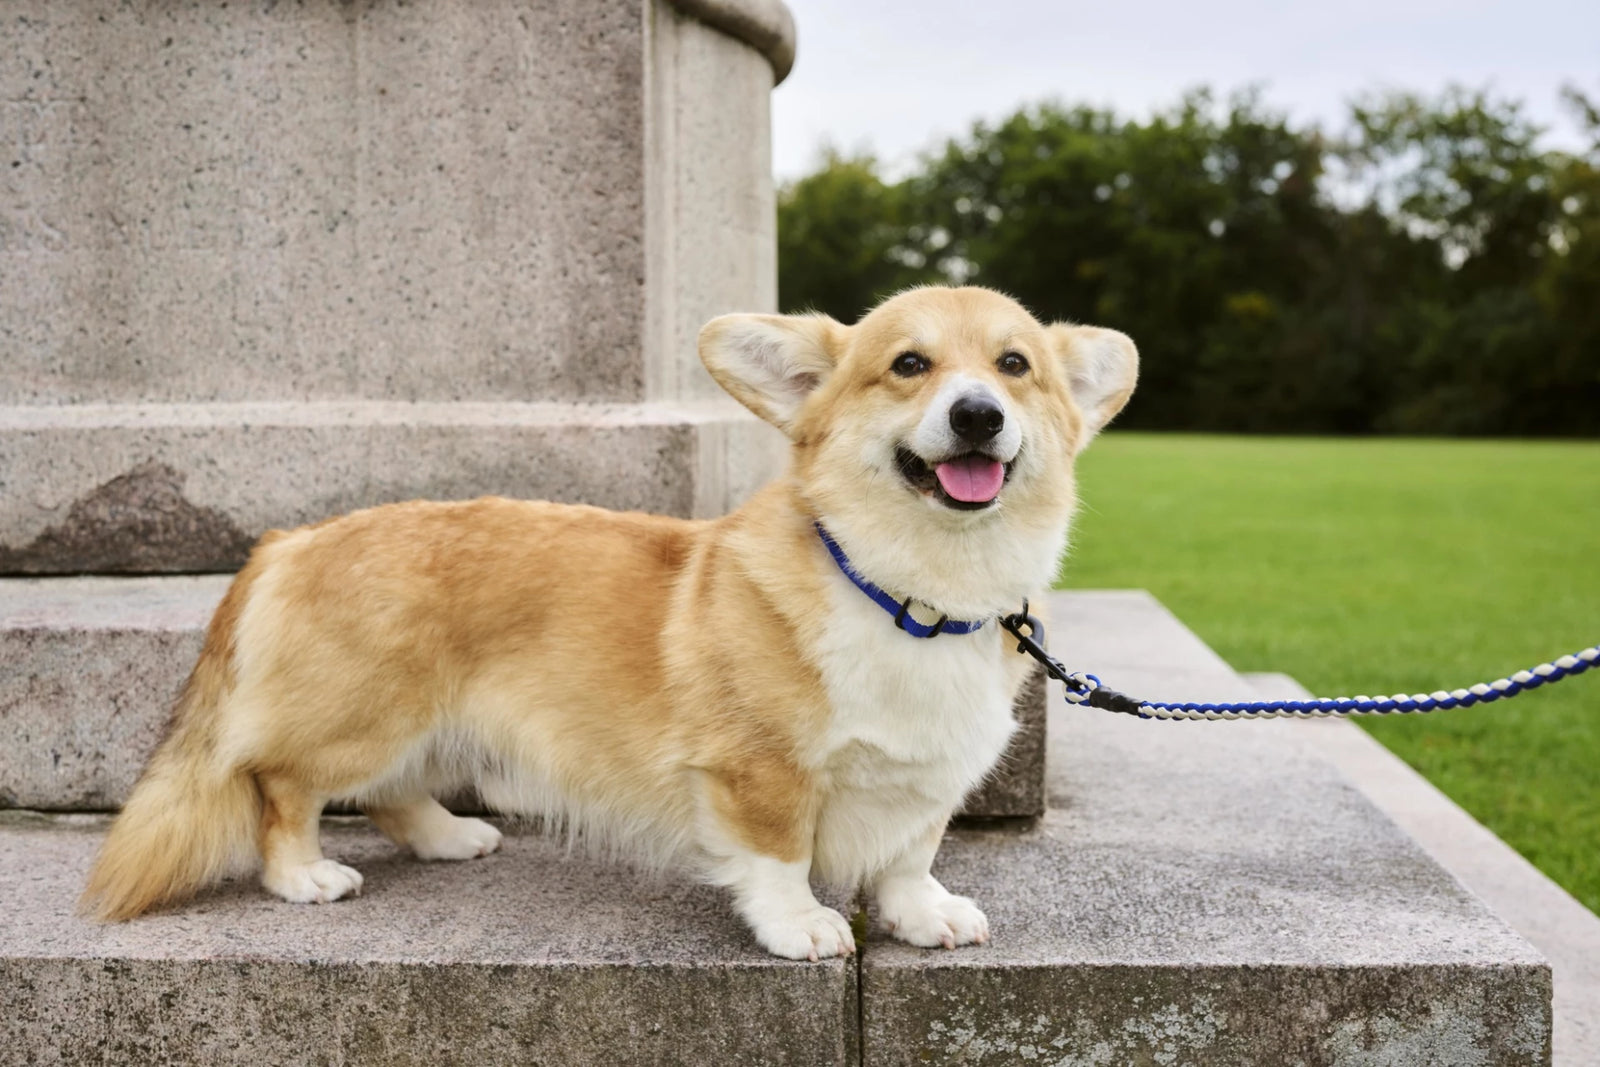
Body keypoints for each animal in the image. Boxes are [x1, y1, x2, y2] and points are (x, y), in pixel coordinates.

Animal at [81, 283, 1139, 959]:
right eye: (909, 365)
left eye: (1014, 365)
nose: (976, 415)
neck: (913, 594)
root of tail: (286, 539)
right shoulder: (757, 773)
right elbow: (780, 856)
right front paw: (801, 925)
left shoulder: (927, 780)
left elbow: (912, 853)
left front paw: (924, 913)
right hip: (363, 718)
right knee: (281, 782)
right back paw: (303, 875)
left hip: (427, 723)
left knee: (390, 793)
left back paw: (447, 837)